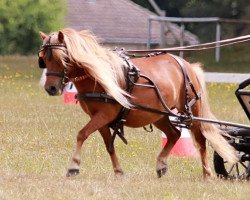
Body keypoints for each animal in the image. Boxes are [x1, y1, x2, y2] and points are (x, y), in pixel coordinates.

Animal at [38, 27, 237, 178]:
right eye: (44, 60)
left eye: (61, 58)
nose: (51, 88)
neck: (97, 76)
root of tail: (186, 64)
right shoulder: (100, 118)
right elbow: (109, 145)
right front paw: (118, 172)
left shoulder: (105, 114)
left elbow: (82, 134)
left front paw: (73, 166)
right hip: (158, 115)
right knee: (174, 134)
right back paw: (161, 165)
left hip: (191, 111)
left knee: (201, 140)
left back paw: (207, 174)